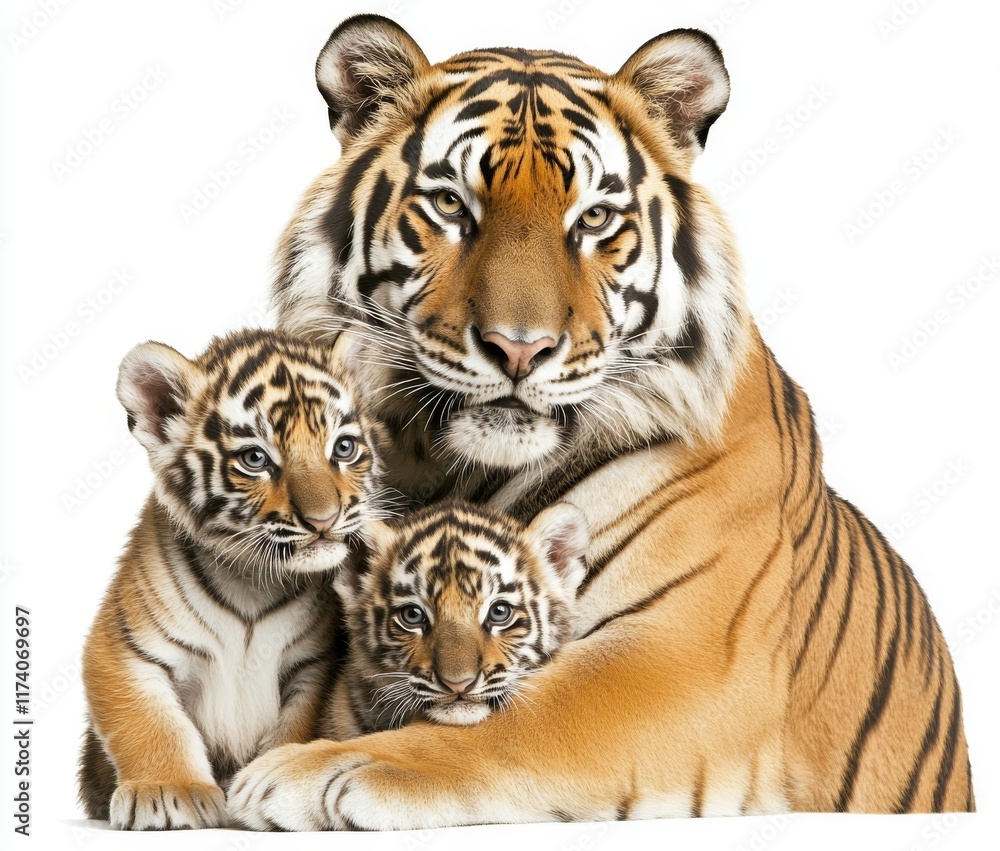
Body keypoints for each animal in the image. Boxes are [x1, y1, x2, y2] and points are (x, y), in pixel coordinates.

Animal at [78, 328, 386, 829]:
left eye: (343, 448)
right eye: (255, 458)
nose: (324, 521)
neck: (252, 581)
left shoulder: (313, 664)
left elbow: (295, 728)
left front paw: (272, 786)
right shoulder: (123, 646)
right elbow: (150, 723)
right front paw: (167, 791)